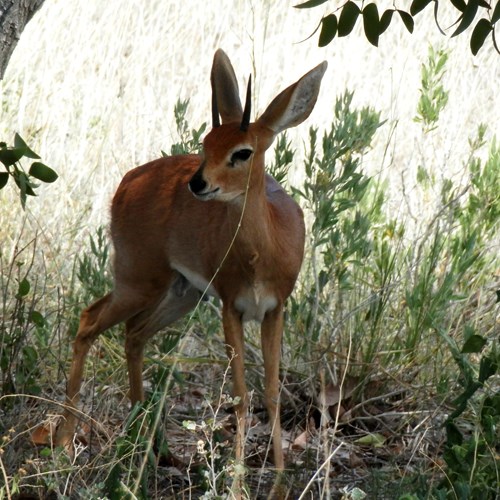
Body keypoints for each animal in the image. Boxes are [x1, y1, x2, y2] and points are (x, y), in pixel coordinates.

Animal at [55, 49, 328, 472]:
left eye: (243, 151)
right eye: (206, 142)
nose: (198, 183)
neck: (261, 255)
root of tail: (129, 179)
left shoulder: (273, 309)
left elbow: (271, 393)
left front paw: (279, 478)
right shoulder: (231, 307)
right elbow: (241, 397)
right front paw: (237, 480)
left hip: (181, 293)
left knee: (133, 333)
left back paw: (152, 448)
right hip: (139, 281)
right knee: (89, 322)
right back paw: (67, 443)